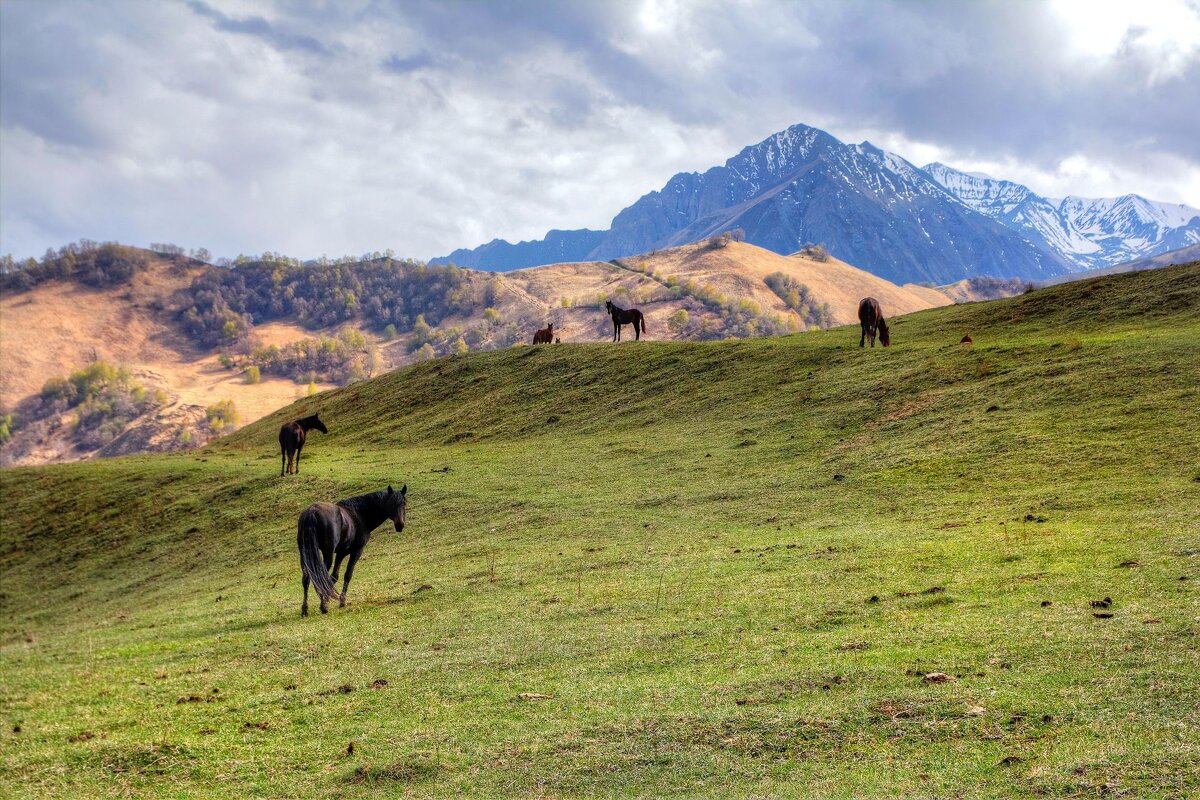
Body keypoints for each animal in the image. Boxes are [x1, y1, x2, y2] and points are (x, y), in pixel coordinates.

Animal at [298, 484, 408, 618]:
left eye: (404, 503)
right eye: (391, 503)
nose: (400, 525)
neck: (360, 515)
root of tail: (311, 511)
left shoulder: (341, 553)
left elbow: (334, 577)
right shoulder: (356, 551)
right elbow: (347, 575)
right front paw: (341, 601)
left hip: (304, 554)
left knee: (307, 578)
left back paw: (305, 610)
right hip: (327, 553)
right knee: (320, 576)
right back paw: (323, 607)